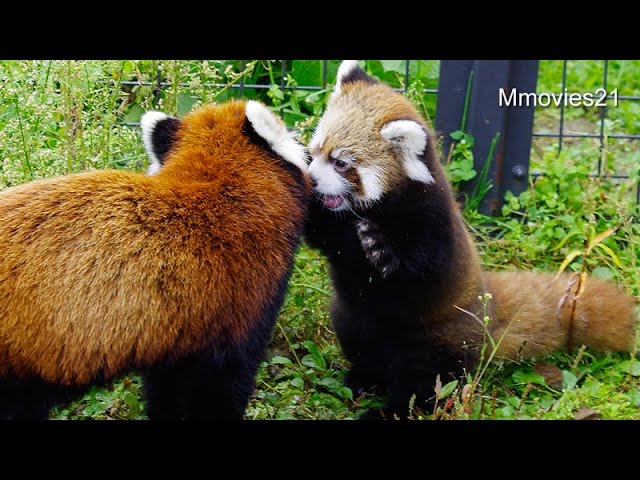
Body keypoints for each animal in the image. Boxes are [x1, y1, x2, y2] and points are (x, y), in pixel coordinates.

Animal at [304, 61, 636, 420]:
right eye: (315, 150)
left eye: (341, 162)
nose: (313, 179)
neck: (370, 212)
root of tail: (486, 309)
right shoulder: (339, 230)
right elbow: (322, 234)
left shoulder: (432, 219)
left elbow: (423, 266)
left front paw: (382, 249)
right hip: (350, 317)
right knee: (363, 348)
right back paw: (361, 380)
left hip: (438, 337)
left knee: (424, 380)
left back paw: (390, 410)